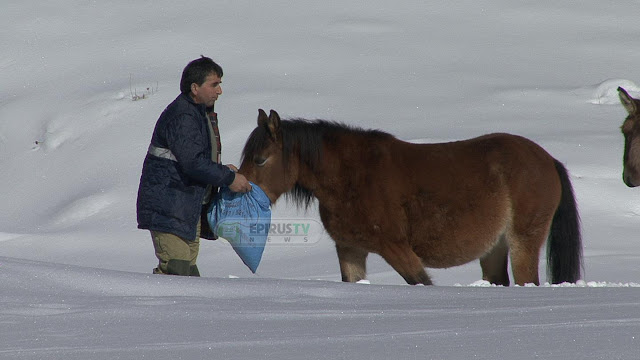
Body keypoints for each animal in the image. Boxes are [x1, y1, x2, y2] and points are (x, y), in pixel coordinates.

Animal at [238, 108, 584, 286]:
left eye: (260, 160)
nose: (238, 188)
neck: (351, 175)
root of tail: (547, 160)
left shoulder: (397, 248)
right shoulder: (350, 250)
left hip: (523, 241)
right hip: (494, 249)